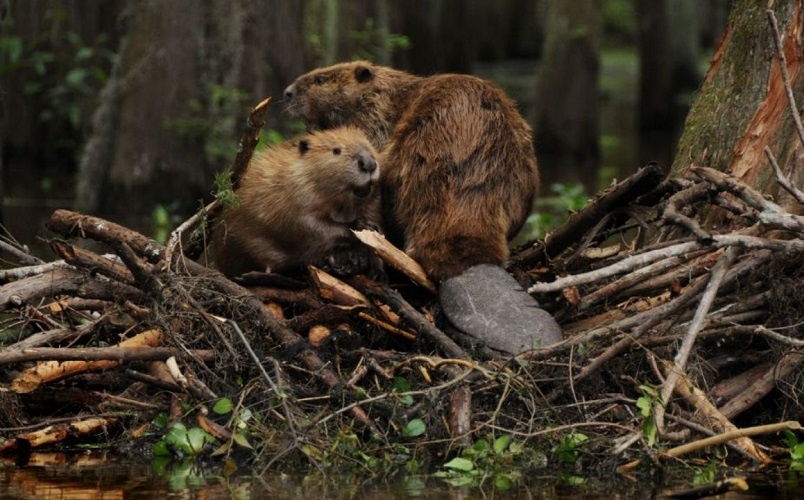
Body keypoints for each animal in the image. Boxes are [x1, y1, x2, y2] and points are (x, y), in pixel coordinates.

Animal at [214, 125, 384, 280]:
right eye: (336, 150)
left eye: (369, 145)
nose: (368, 164)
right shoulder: (295, 195)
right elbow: (308, 225)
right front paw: (359, 225)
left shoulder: (372, 204)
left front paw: (376, 269)